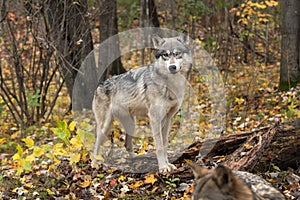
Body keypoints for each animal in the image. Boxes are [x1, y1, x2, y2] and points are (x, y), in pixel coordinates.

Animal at [91, 34, 192, 173]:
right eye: (165, 55)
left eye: (177, 54)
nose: (172, 67)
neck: (170, 84)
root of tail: (99, 85)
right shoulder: (154, 119)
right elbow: (159, 146)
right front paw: (163, 167)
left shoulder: (167, 119)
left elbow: (165, 144)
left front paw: (168, 165)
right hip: (105, 125)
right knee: (96, 144)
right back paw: (94, 163)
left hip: (131, 124)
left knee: (127, 145)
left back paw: (135, 160)